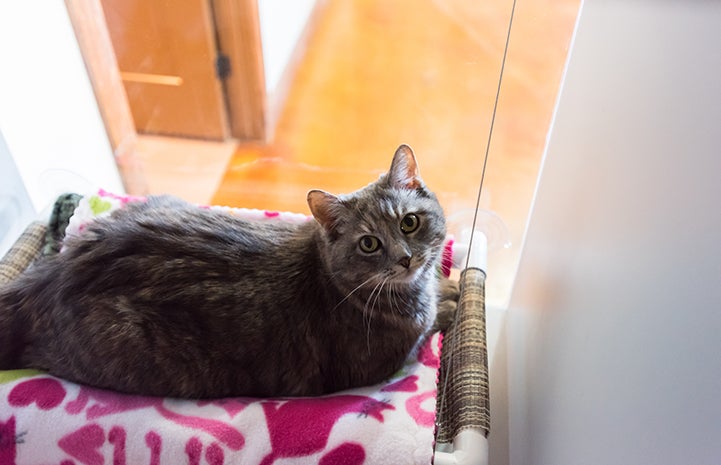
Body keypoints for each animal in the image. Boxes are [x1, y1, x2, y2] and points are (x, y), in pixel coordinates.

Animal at [0, 144, 452, 396]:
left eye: (409, 222)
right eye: (369, 243)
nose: (405, 258)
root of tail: (50, 274)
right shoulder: (381, 361)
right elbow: (427, 329)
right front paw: (448, 304)